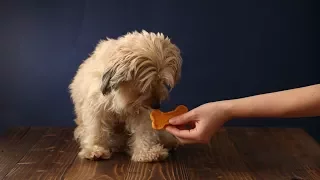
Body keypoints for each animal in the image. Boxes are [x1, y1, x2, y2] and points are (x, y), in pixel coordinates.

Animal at [68, 29, 182, 162]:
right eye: (146, 83)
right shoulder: (96, 109)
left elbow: (144, 132)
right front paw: (96, 149)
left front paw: (147, 152)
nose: (156, 105)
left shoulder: (141, 111)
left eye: (162, 81)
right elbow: (96, 130)